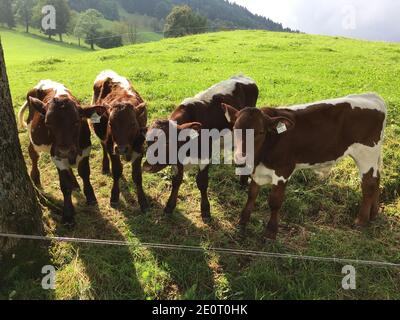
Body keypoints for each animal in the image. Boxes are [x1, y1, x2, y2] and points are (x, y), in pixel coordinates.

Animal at [18, 80, 101, 225]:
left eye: (76, 122)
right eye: (47, 123)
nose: (64, 150)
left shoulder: (85, 149)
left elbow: (85, 174)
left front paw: (91, 197)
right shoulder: (56, 156)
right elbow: (65, 185)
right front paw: (68, 215)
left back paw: (75, 182)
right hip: (32, 134)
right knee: (33, 153)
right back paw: (35, 177)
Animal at [89, 69, 148, 210]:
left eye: (133, 123)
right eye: (110, 123)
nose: (121, 149)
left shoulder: (139, 148)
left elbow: (137, 176)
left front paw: (142, 200)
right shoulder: (112, 146)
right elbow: (116, 171)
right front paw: (114, 196)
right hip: (102, 136)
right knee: (104, 148)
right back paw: (105, 166)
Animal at [144, 74, 260, 222]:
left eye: (168, 143)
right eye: (147, 142)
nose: (147, 167)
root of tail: (242, 76)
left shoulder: (205, 156)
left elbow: (202, 182)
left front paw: (205, 209)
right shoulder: (178, 160)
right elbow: (176, 181)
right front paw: (169, 206)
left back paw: (243, 181)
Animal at [223, 94, 386, 239]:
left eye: (260, 132)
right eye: (235, 128)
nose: (240, 157)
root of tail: (373, 97)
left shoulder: (283, 170)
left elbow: (275, 201)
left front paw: (270, 232)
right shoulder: (258, 171)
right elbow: (252, 195)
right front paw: (242, 222)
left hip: (366, 154)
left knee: (369, 184)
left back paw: (361, 221)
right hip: (373, 156)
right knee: (377, 179)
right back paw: (373, 214)